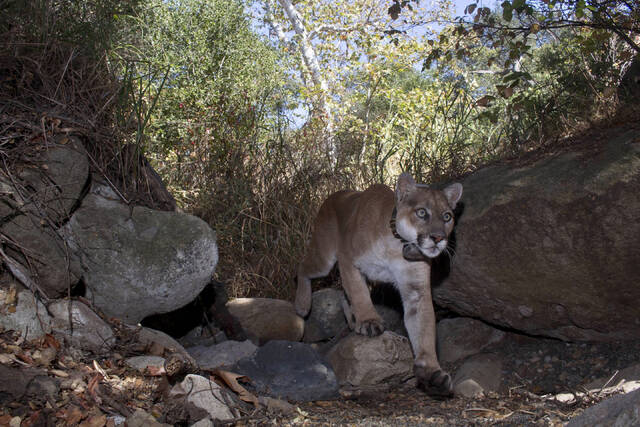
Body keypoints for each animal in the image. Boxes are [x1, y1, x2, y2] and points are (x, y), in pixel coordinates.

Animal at [296, 173, 460, 398]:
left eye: (447, 217)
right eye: (422, 212)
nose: (438, 238)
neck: (397, 244)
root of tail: (336, 194)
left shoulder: (415, 289)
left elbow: (423, 327)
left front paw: (432, 371)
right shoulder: (348, 259)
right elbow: (359, 293)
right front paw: (369, 321)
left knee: (342, 293)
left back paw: (352, 321)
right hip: (324, 257)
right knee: (303, 267)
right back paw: (302, 305)